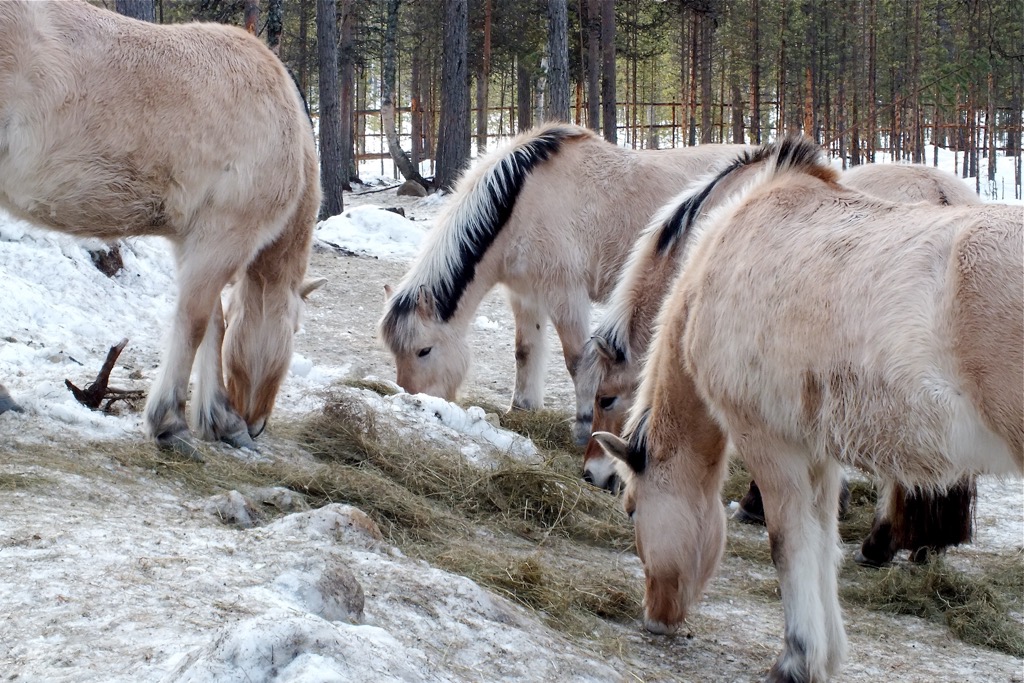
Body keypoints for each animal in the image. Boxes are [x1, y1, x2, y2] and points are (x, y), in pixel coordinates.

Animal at [0, 1, 319, 454]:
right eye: (295, 329)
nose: (256, 423)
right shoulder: (223, 236)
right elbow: (196, 321)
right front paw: (171, 423)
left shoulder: (194, 242)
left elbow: (215, 324)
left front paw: (221, 420)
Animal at [380, 121, 749, 411]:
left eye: (424, 350)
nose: (414, 398)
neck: (521, 202)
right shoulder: (525, 295)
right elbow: (525, 350)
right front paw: (523, 409)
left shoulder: (566, 294)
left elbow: (577, 363)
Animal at [598, 135, 1019, 683]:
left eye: (632, 509)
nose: (656, 619)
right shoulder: (819, 453)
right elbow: (821, 543)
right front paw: (828, 654)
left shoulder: (770, 442)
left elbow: (788, 543)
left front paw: (796, 659)